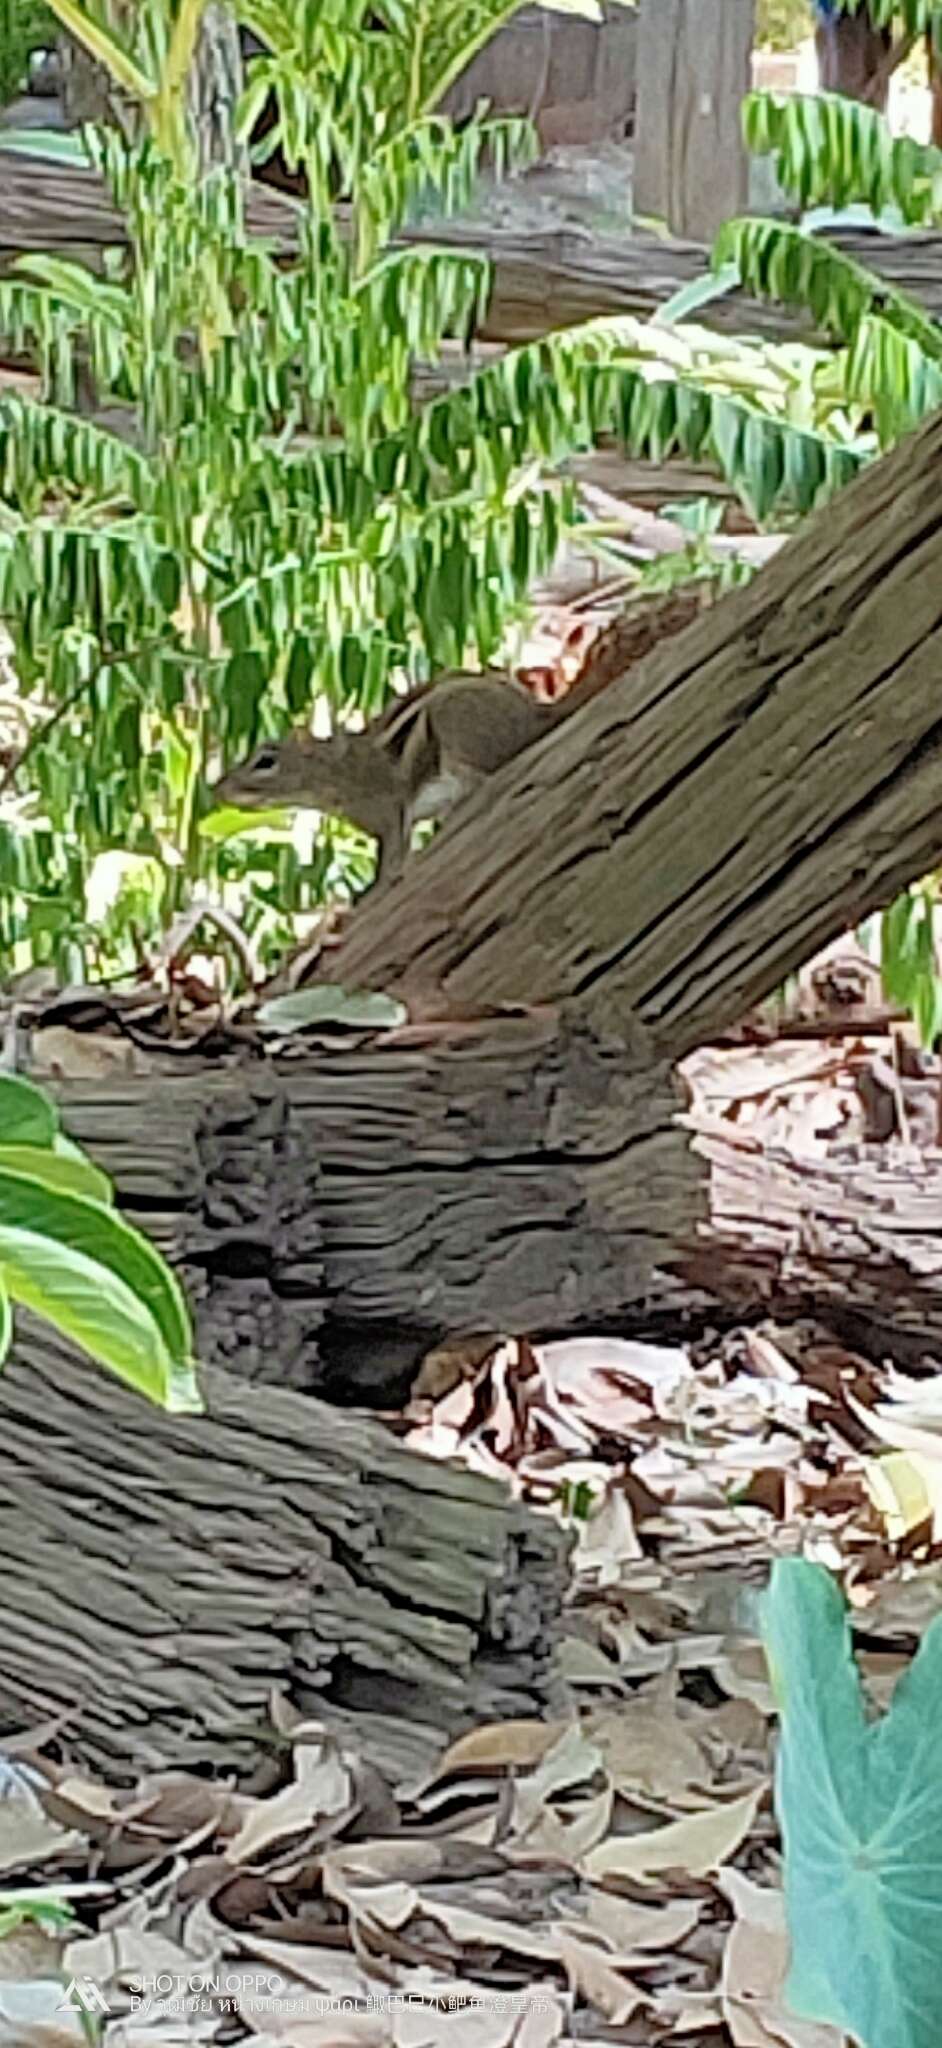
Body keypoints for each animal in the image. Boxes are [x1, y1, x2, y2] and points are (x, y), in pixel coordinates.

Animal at [207, 589, 704, 884]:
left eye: (265, 760)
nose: (218, 788)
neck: (338, 771)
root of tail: (538, 715)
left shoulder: (388, 811)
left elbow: (392, 861)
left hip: (457, 727)